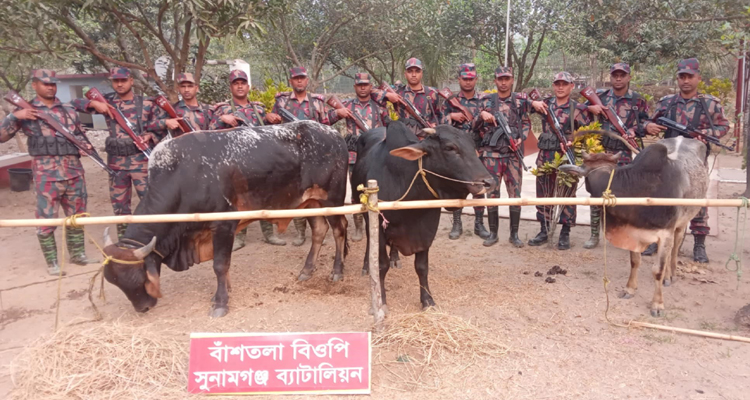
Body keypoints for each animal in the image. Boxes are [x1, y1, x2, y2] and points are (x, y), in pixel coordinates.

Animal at [100, 120, 352, 318]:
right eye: (114, 282)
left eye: (137, 277)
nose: (142, 308)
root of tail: (334, 133)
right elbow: (224, 265)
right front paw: (225, 292)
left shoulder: (223, 225)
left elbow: (220, 265)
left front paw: (220, 302)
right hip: (310, 203)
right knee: (319, 231)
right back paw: (307, 270)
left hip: (332, 200)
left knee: (339, 230)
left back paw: (337, 271)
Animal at [354, 120, 500, 310]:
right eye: (450, 148)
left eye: (472, 146)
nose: (489, 182)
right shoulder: (378, 225)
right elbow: (381, 265)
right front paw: (382, 301)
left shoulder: (426, 231)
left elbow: (422, 267)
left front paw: (427, 300)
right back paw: (366, 265)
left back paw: (395, 258)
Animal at [564, 136, 712, 318]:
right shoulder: (632, 233)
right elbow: (635, 262)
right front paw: (629, 289)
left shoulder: (666, 233)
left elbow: (657, 270)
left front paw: (657, 304)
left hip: (682, 222)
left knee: (675, 248)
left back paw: (670, 276)